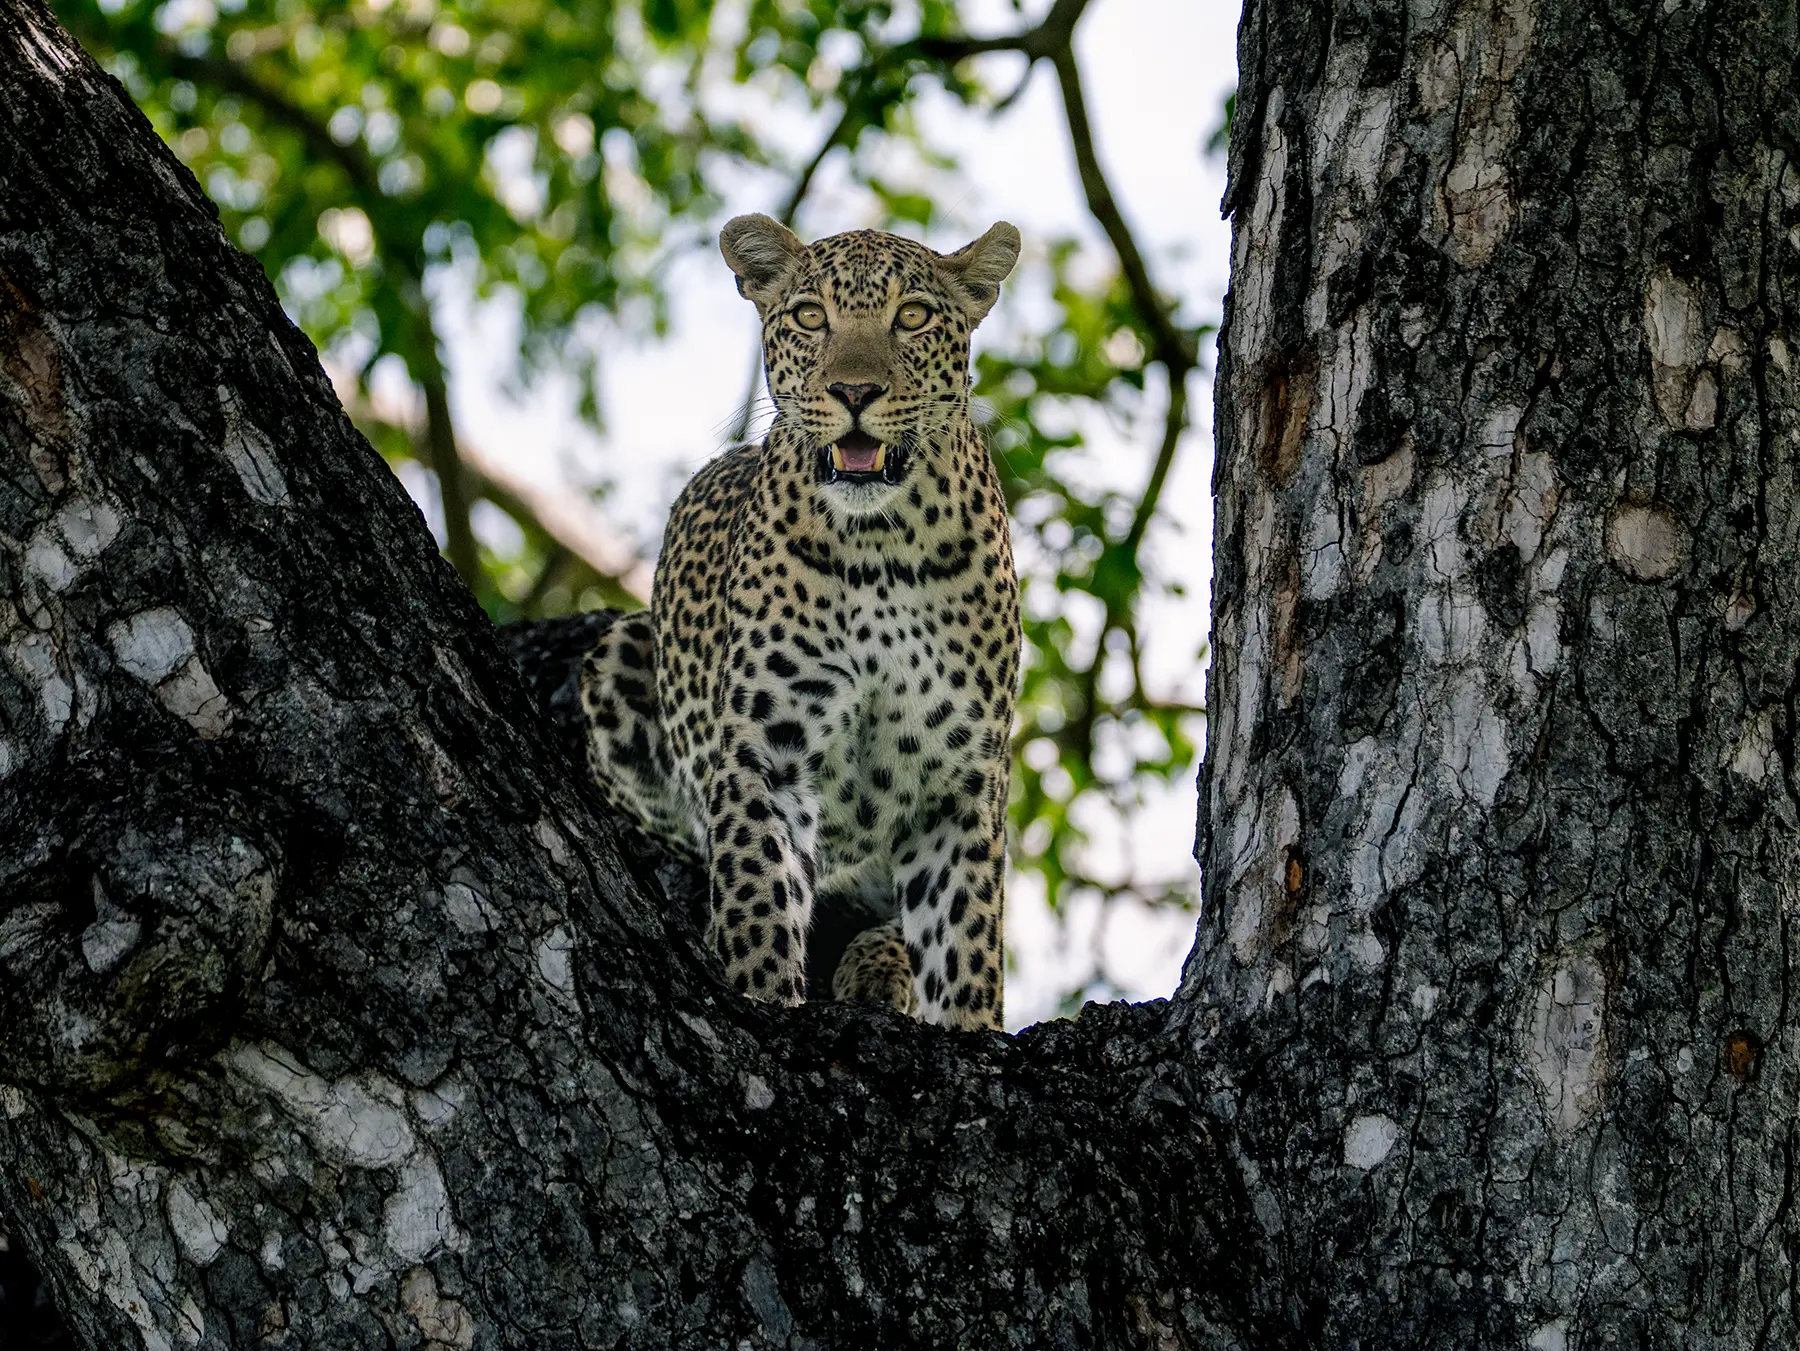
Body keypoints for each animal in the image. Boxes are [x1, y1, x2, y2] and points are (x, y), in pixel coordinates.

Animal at [575, 214, 1022, 1031]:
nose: (854, 390)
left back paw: (876, 967)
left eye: (913, 316)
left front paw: (970, 1027)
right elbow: (758, 892)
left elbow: (967, 936)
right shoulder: (767, 748)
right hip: (621, 655)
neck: (884, 548)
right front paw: (762, 998)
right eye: (811, 317)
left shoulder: (965, 776)